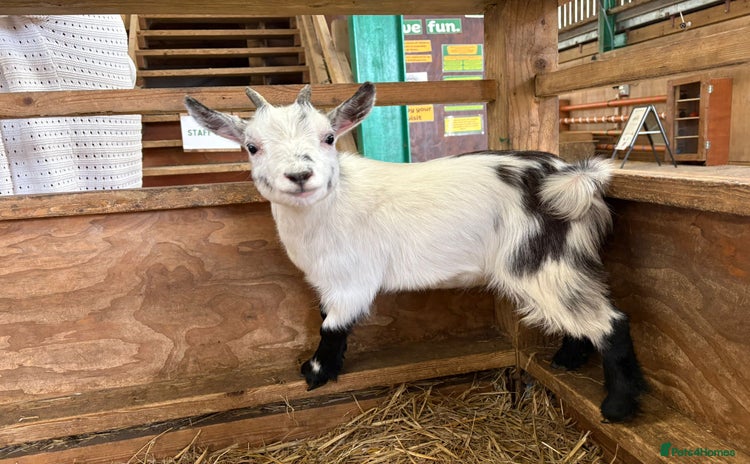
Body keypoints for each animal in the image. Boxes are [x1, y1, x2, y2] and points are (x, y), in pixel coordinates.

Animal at [184, 83, 647, 422]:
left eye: (328, 137)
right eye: (251, 146)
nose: (299, 175)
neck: (330, 205)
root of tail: (572, 176)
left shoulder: (352, 280)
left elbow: (332, 327)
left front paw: (315, 373)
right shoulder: (330, 280)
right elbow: (325, 318)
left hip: (537, 260)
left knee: (611, 322)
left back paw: (618, 406)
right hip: (557, 262)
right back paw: (568, 360)